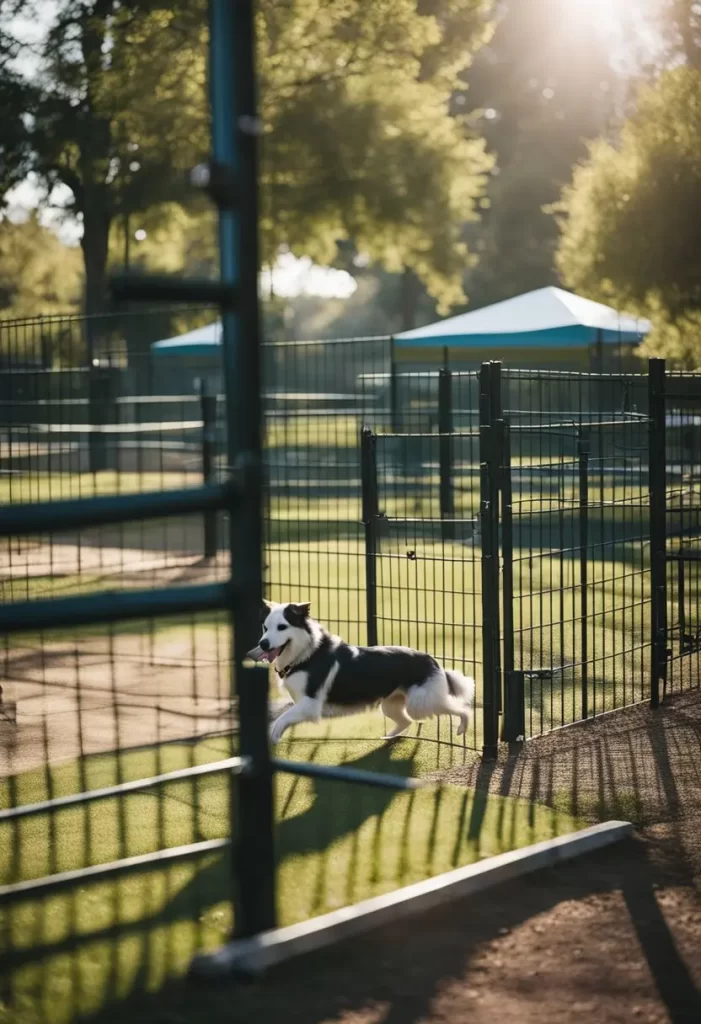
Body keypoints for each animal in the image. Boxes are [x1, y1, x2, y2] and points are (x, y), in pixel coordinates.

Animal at [247, 598, 474, 745]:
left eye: (282, 627)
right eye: (265, 627)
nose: (263, 643)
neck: (306, 654)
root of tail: (434, 661)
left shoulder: (310, 704)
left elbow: (280, 720)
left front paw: (273, 737)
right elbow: (279, 720)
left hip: (422, 703)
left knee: (460, 709)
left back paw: (462, 727)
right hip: (392, 705)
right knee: (406, 721)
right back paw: (389, 737)